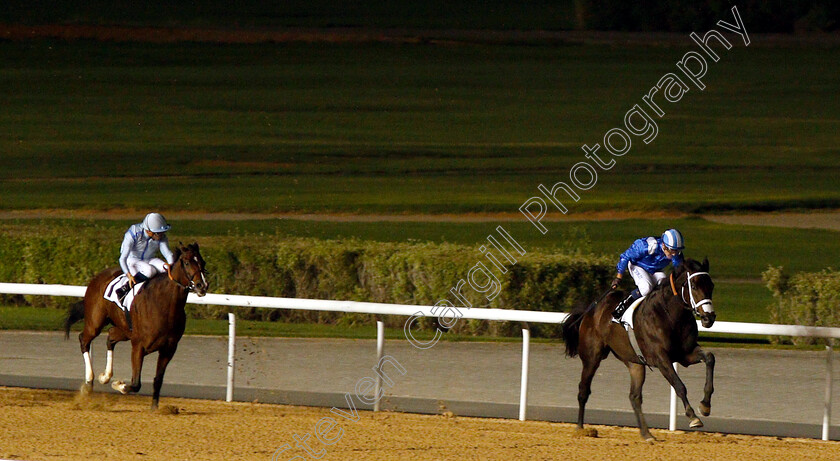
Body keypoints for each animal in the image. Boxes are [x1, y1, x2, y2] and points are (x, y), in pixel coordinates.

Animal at [62, 243, 207, 408]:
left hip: (125, 330)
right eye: (187, 263)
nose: (202, 286)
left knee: (110, 336)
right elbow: (136, 383)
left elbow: (158, 380)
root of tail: (98, 277)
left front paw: (155, 408)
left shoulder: (168, 349)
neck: (165, 305)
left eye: (203, 262)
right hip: (95, 322)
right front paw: (119, 385)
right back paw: (89, 383)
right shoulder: (139, 345)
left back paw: (105, 376)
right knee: (84, 340)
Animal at [560, 256, 720, 440]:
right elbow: (679, 385)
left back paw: (647, 434)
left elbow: (710, 358)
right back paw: (580, 428)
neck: (670, 315)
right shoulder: (661, 358)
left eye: (711, 286)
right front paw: (693, 417)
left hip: (634, 363)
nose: (709, 318)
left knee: (634, 397)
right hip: (592, 357)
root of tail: (591, 310)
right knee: (583, 390)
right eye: (693, 285)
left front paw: (705, 405)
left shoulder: (685, 354)